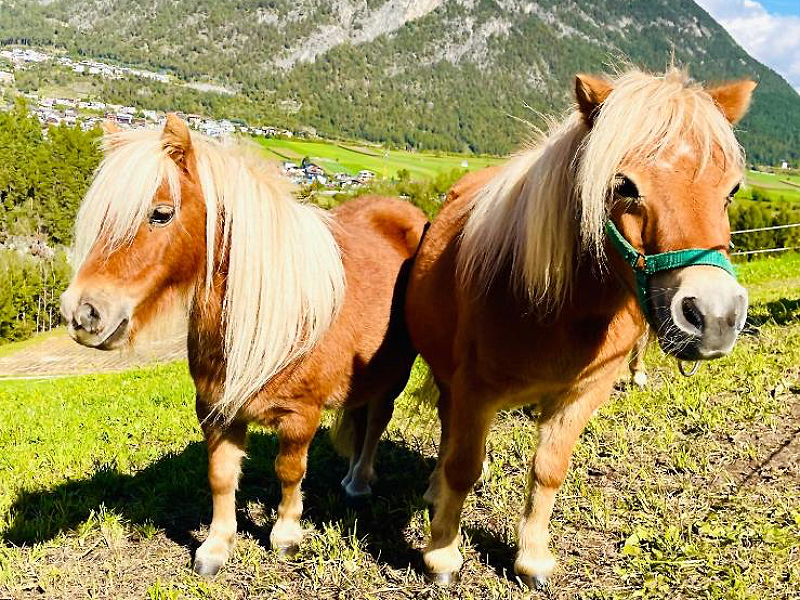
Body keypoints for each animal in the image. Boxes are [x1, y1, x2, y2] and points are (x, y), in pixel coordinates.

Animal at [62, 115, 428, 576]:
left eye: (161, 214)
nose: (82, 314)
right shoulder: (216, 412)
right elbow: (221, 476)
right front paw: (216, 547)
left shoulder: (300, 417)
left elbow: (289, 471)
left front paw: (285, 535)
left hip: (395, 374)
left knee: (377, 421)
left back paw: (359, 481)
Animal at [406, 68, 756, 588]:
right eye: (624, 185)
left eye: (731, 190)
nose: (713, 317)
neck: (555, 305)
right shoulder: (475, 388)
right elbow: (462, 467)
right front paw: (442, 554)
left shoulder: (585, 392)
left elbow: (549, 469)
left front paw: (532, 558)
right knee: (450, 431)